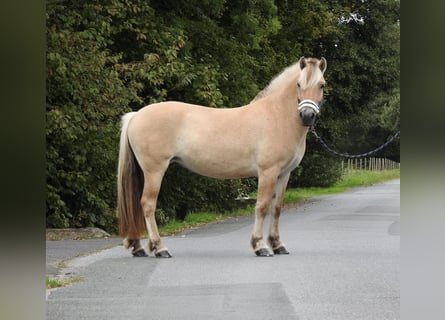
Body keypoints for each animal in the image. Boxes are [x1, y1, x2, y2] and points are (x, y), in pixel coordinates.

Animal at [117, 57, 326, 258]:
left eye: (322, 85)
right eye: (299, 84)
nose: (306, 115)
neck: (277, 116)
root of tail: (136, 115)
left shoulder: (284, 174)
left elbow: (277, 208)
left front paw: (278, 245)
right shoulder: (268, 172)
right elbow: (262, 206)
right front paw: (260, 246)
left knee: (136, 205)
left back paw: (138, 248)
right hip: (155, 170)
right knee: (147, 204)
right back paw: (160, 248)